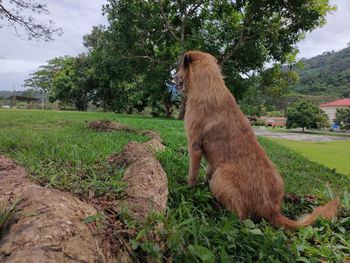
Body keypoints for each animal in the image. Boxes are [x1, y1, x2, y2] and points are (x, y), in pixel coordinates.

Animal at [174, 50, 340, 230]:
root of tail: (272, 210)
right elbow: (206, 172)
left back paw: (215, 207)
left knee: (239, 216)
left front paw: (189, 189)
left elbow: (193, 173)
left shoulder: (194, 146)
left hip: (221, 175)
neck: (208, 84)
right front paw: (202, 185)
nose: (173, 77)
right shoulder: (211, 158)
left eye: (180, 66)